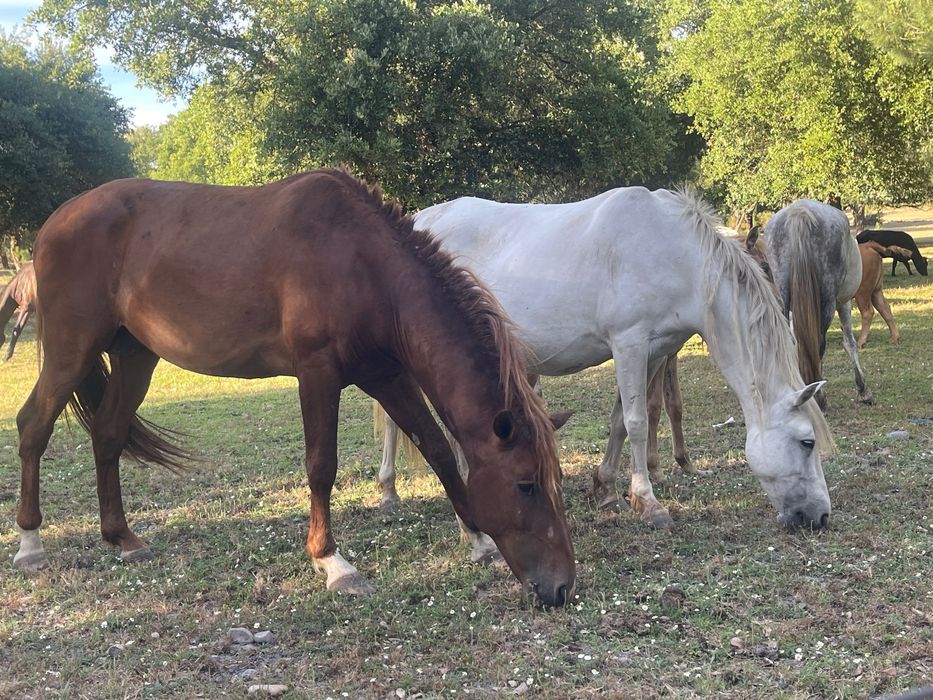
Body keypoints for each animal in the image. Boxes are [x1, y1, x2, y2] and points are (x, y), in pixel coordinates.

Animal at [10, 169, 575, 607]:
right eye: (526, 484)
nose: (562, 587)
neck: (362, 263)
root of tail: (54, 223)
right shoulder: (318, 373)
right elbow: (322, 465)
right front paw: (333, 563)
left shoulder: (385, 374)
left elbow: (436, 448)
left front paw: (477, 541)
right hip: (71, 349)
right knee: (33, 425)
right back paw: (30, 544)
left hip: (134, 356)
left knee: (108, 434)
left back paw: (122, 538)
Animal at [380, 187, 832, 535]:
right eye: (807, 442)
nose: (820, 516)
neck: (672, 252)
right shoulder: (629, 343)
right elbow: (636, 422)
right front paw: (649, 503)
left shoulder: (653, 351)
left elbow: (620, 419)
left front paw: (607, 488)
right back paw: (391, 493)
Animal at [764, 200, 872, 408]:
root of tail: (799, 212)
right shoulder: (843, 303)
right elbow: (849, 342)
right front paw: (863, 390)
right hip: (828, 301)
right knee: (819, 343)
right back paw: (819, 397)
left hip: (782, 294)